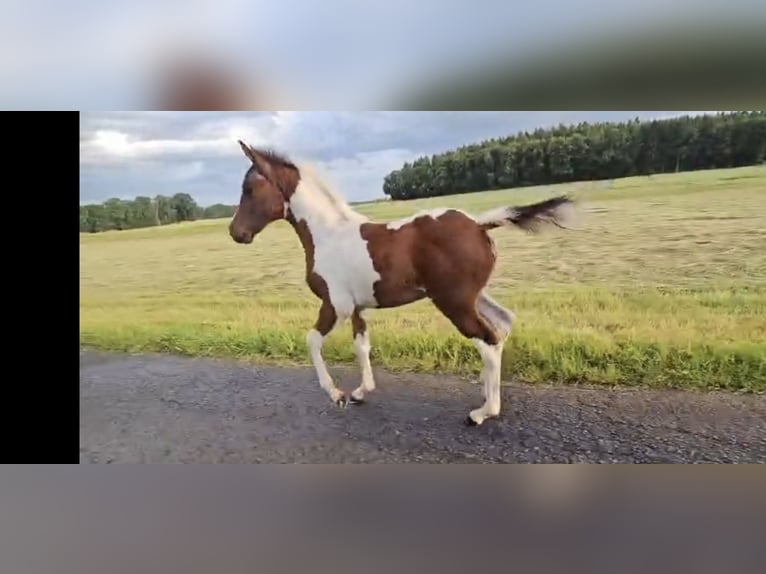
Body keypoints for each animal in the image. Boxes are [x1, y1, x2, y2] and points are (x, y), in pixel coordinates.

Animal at [228, 141, 574, 425]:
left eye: (249, 188)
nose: (236, 233)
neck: (328, 233)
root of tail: (478, 224)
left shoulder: (335, 305)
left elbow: (312, 341)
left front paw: (337, 394)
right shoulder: (357, 307)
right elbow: (361, 346)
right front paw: (360, 392)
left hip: (454, 302)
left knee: (488, 340)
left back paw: (483, 412)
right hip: (474, 296)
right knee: (503, 324)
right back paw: (485, 391)